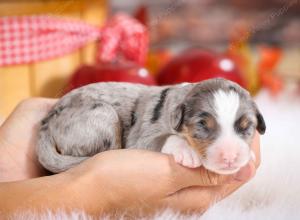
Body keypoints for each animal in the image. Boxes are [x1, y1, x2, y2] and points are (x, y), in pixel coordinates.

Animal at [37, 78, 264, 174]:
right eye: (202, 125)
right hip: (103, 115)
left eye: (246, 127)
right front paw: (186, 151)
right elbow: (165, 138)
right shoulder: (142, 138)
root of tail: (47, 122)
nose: (230, 157)